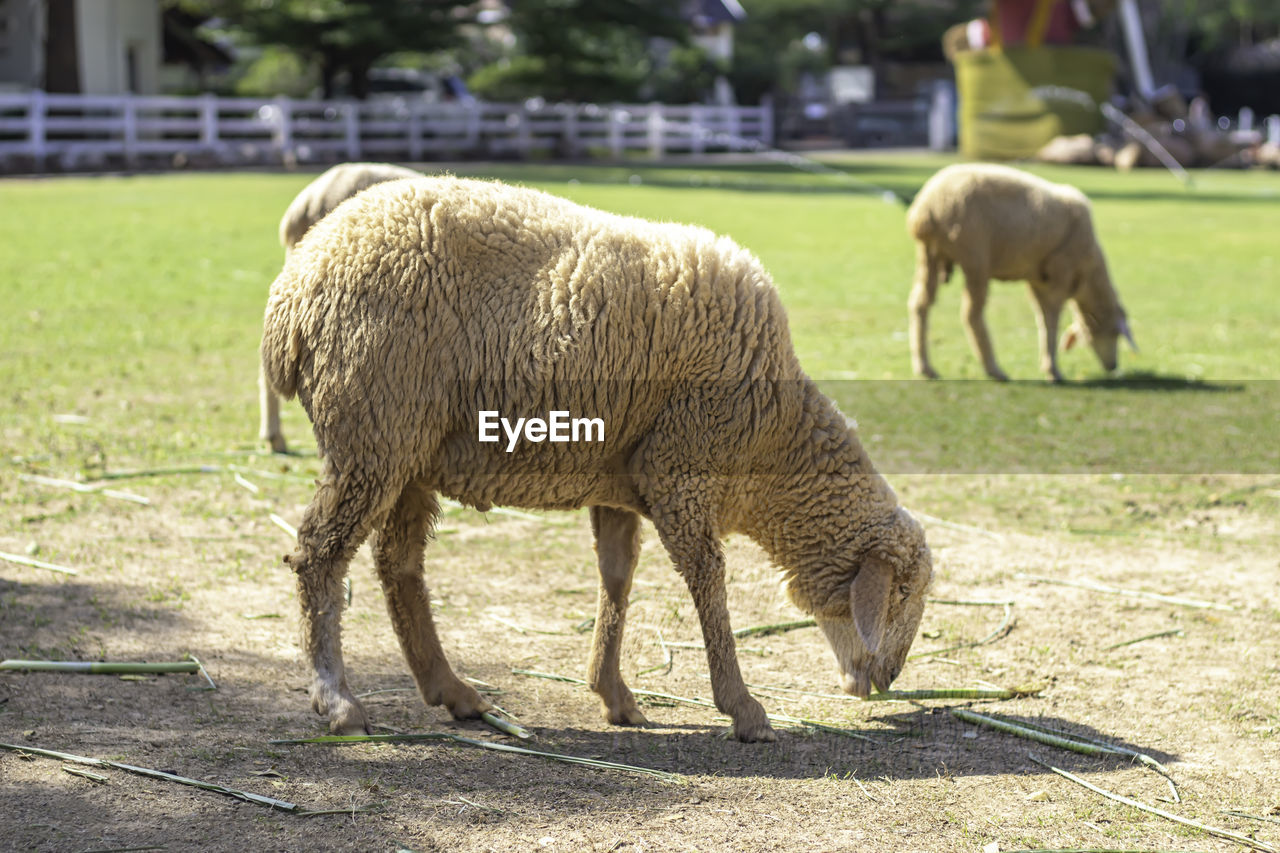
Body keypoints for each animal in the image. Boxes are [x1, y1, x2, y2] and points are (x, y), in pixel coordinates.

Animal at [905, 163, 1136, 382]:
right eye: (1114, 333)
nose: (1112, 366)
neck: (1088, 273)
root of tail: (927, 208)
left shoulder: (1036, 280)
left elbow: (1041, 318)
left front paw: (1047, 365)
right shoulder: (1060, 272)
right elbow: (1051, 319)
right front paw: (1053, 371)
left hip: (929, 254)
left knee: (920, 303)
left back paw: (924, 367)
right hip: (975, 254)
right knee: (971, 314)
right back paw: (994, 370)